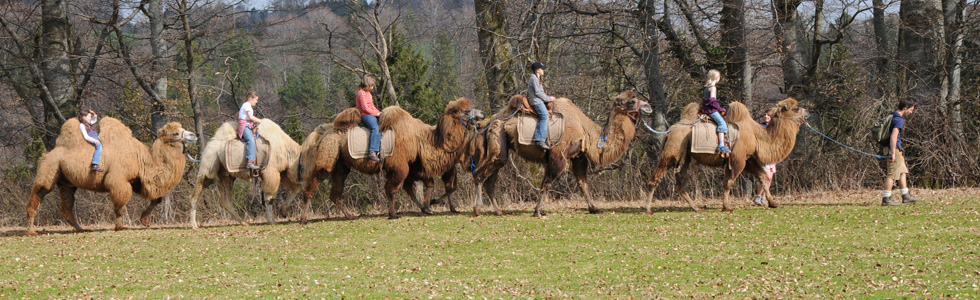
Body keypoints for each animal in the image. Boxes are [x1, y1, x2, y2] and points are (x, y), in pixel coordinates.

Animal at [26, 116, 197, 234]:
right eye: (175, 132)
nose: (193, 135)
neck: (141, 160)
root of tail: (48, 154)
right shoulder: (119, 180)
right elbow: (120, 204)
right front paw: (120, 226)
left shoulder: (137, 181)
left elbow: (157, 199)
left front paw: (145, 220)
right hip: (50, 168)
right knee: (39, 193)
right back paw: (31, 231)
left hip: (66, 182)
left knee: (66, 206)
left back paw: (81, 229)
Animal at [189, 118, 318, 229]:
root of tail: (211, 143)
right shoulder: (271, 172)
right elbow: (270, 197)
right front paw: (272, 221)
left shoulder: (282, 172)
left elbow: (297, 188)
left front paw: (284, 211)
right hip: (209, 163)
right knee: (199, 190)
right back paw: (194, 225)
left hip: (226, 174)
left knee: (225, 199)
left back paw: (244, 222)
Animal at [300, 98, 480, 218]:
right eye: (465, 111)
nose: (481, 114)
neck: (422, 139)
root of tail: (323, 131)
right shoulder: (399, 166)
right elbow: (392, 189)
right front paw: (393, 214)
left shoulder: (414, 166)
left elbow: (426, 184)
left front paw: (427, 207)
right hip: (328, 156)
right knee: (315, 182)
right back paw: (304, 219)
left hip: (341, 165)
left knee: (335, 192)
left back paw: (350, 215)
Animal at [468, 91, 652, 216]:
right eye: (632, 101)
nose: (648, 107)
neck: (587, 132)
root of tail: (488, 121)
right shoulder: (559, 155)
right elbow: (548, 182)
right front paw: (538, 211)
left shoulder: (578, 156)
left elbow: (582, 183)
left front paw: (594, 208)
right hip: (498, 138)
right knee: (479, 174)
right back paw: (477, 209)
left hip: (500, 148)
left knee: (490, 180)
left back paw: (498, 211)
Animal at [640, 97, 808, 212]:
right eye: (796, 108)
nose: (807, 112)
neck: (757, 135)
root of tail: (670, 130)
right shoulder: (738, 159)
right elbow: (729, 182)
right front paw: (726, 206)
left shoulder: (748, 159)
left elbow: (762, 177)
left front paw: (773, 203)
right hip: (673, 148)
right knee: (655, 177)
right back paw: (648, 209)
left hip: (685, 156)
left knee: (680, 183)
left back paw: (696, 208)